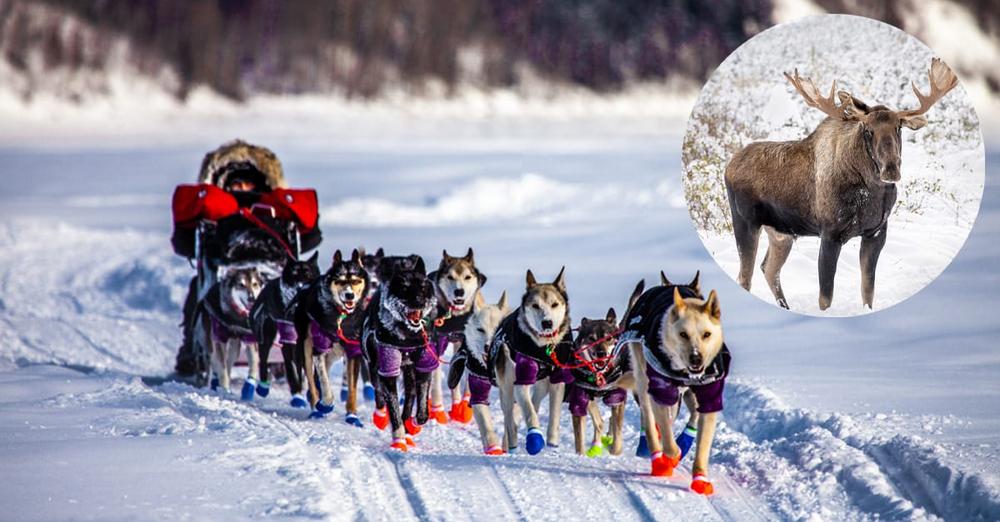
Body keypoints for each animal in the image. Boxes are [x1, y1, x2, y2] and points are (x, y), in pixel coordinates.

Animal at [490, 266, 576, 452]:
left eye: (555, 304)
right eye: (536, 305)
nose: (547, 323)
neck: (543, 348)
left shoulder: (558, 380)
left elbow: (553, 414)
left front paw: (552, 442)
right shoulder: (521, 381)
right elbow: (530, 413)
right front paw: (534, 438)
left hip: (542, 386)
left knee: (534, 402)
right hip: (507, 389)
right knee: (510, 419)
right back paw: (513, 445)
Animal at [620, 278, 732, 494]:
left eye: (707, 334)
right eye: (683, 334)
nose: (696, 358)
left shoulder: (709, 396)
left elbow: (702, 443)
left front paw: (700, 478)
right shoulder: (661, 392)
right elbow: (669, 441)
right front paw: (671, 457)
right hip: (643, 380)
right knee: (650, 420)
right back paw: (658, 458)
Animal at [724, 58, 956, 308]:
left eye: (899, 127)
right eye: (868, 130)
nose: (891, 169)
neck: (873, 195)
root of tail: (728, 166)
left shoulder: (876, 232)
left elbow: (867, 291)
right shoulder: (830, 234)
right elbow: (825, 297)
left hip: (781, 233)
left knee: (769, 269)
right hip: (745, 222)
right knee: (745, 276)